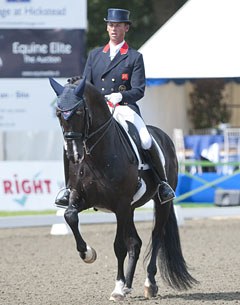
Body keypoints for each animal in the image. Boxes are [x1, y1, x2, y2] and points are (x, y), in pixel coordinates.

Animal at [49, 76, 197, 300]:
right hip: (130, 209)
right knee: (136, 243)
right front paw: (88, 254)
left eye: (80, 112)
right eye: (59, 113)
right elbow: (70, 216)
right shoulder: (82, 197)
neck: (95, 155)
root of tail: (163, 136)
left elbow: (119, 246)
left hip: (157, 204)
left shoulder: (120, 204)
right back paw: (128, 285)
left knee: (156, 236)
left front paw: (117, 288)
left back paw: (148, 284)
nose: (74, 154)